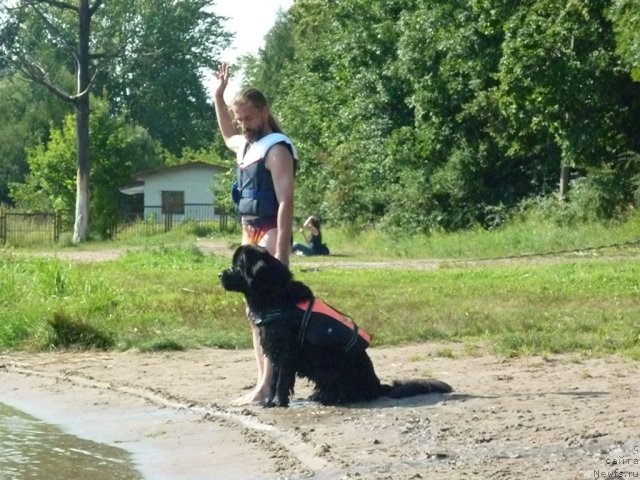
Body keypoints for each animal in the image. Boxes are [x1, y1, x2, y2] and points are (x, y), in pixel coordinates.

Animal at [220, 246, 456, 406]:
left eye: (236, 266)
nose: (219, 274)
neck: (273, 296)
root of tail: (378, 385)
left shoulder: (286, 351)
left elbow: (281, 380)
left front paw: (277, 402)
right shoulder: (274, 350)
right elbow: (275, 379)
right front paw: (270, 402)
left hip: (330, 361)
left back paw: (332, 398)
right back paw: (320, 395)